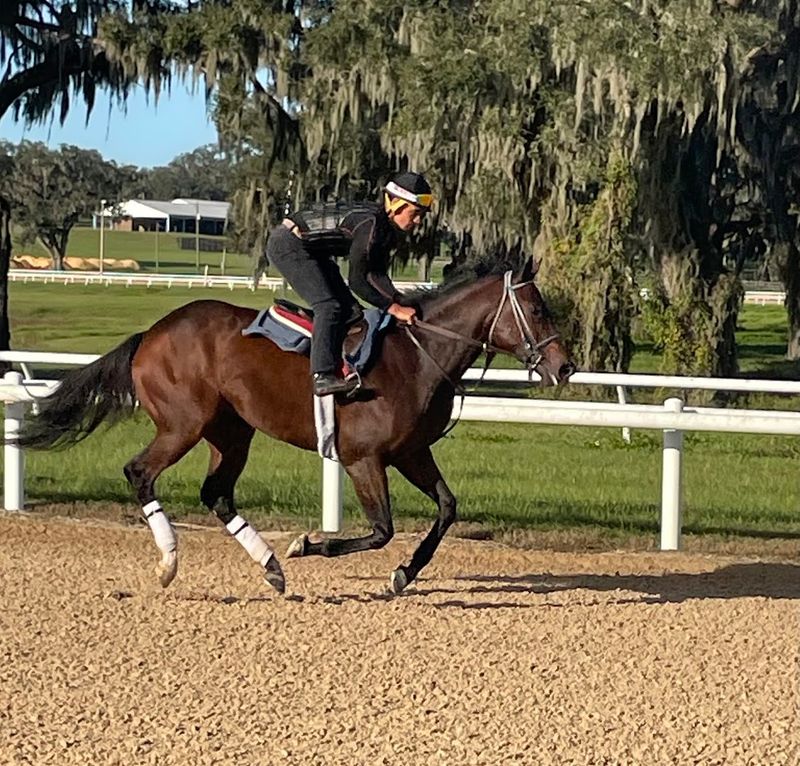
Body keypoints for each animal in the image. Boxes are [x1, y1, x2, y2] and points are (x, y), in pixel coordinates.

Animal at [17, 257, 574, 595]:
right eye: (537, 308)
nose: (565, 366)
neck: (417, 356)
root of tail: (150, 334)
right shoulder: (363, 458)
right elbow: (381, 530)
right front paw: (308, 544)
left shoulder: (411, 452)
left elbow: (446, 509)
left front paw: (403, 574)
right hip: (183, 425)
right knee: (140, 473)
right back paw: (171, 562)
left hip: (231, 432)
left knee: (216, 492)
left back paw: (270, 567)